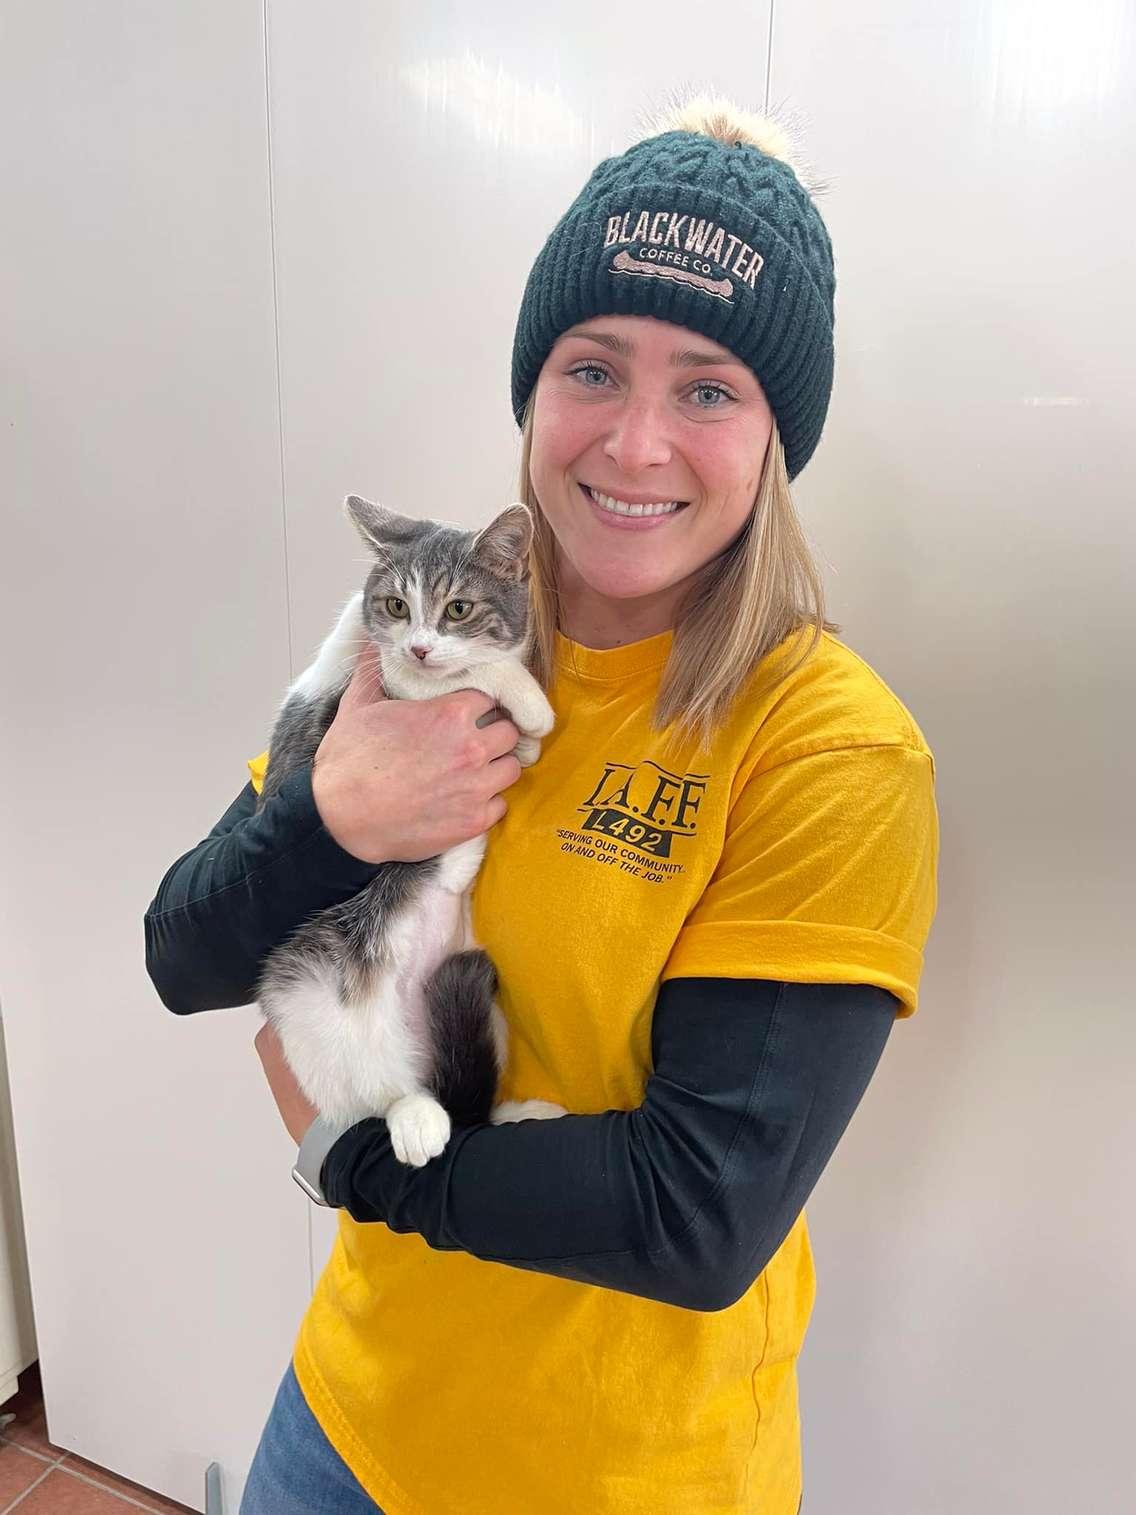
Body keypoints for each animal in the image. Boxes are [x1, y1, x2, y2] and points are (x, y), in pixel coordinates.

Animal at [252, 490, 566, 1163]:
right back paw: (416, 1119)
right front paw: (528, 703)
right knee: (376, 1093)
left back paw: (521, 1111)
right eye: (397, 606)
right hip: (309, 990)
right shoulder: (379, 687)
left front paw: (522, 743)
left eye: (458, 608)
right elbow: (460, 677)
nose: (420, 646)